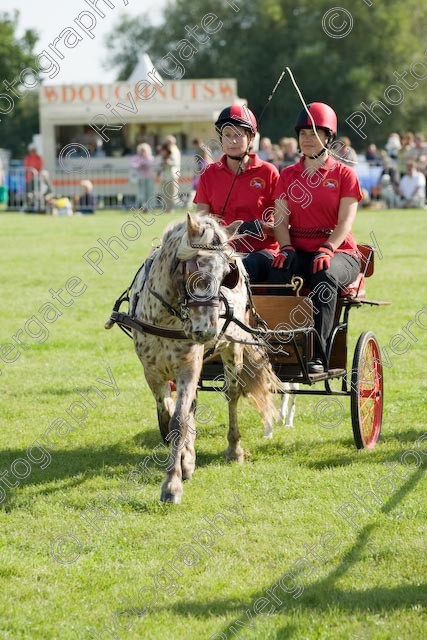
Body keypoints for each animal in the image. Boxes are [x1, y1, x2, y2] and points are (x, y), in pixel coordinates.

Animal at [129, 212, 280, 502]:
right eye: (193, 268)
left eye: (226, 274)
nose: (207, 329)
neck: (164, 317)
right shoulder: (151, 372)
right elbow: (169, 416)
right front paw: (186, 458)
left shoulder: (188, 367)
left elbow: (178, 421)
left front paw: (172, 484)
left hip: (233, 350)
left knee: (232, 395)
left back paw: (234, 449)